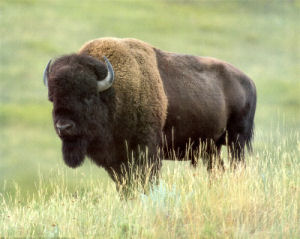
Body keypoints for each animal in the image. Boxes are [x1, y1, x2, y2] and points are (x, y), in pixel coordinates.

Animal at [43, 37, 256, 189]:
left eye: (87, 96)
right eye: (53, 99)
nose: (64, 127)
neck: (114, 93)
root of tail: (248, 81)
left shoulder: (147, 152)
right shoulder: (116, 161)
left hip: (237, 142)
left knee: (237, 167)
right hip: (211, 147)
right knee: (218, 170)